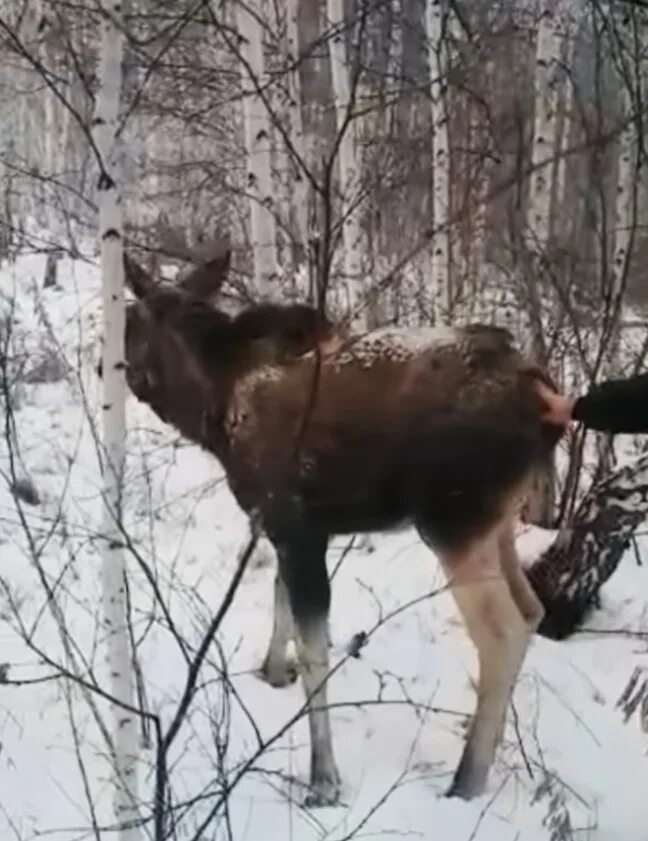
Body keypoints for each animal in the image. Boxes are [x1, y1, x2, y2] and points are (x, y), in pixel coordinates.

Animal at [116, 244, 560, 808]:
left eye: (129, 319)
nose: (111, 364)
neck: (210, 408)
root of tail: (546, 403)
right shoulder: (289, 528)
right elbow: (280, 602)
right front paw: (270, 671)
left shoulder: (295, 525)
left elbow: (315, 654)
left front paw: (323, 779)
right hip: (496, 524)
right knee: (532, 610)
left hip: (453, 523)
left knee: (502, 630)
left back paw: (467, 779)